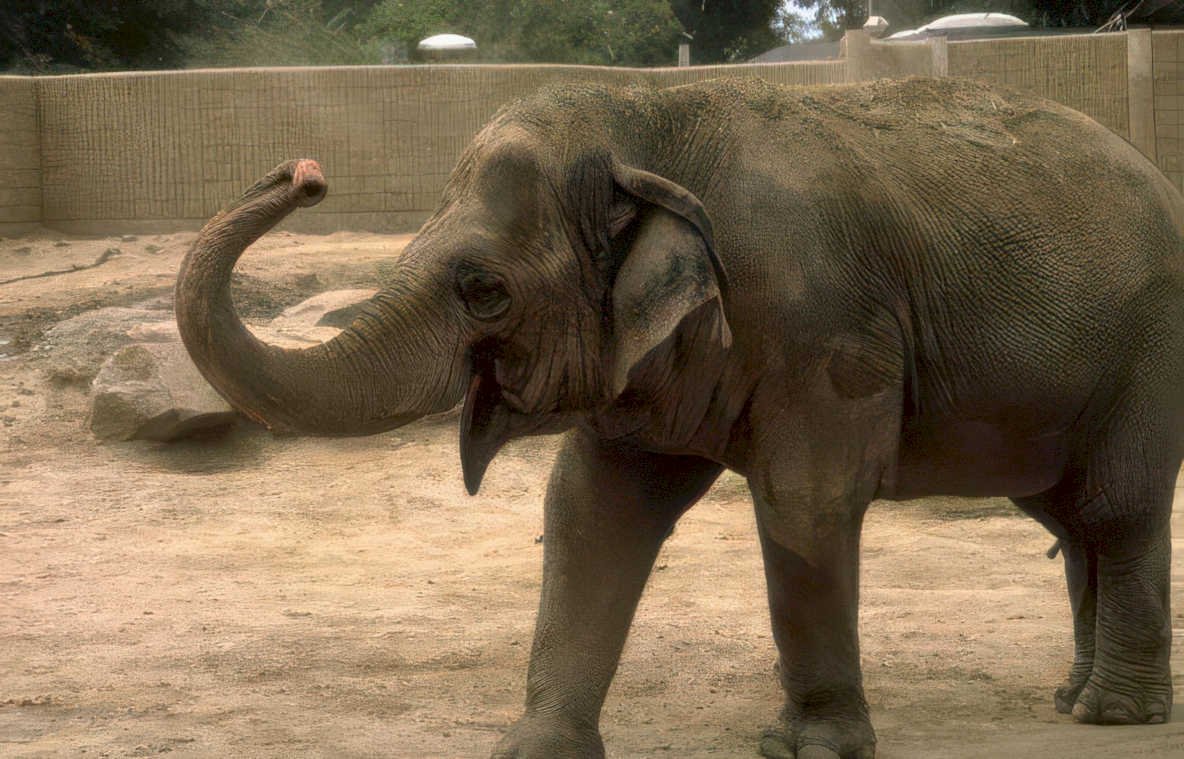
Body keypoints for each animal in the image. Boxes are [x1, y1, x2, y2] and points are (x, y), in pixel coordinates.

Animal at [175, 76, 1184, 758]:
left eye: (483, 289)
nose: (303, 172)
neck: (647, 122)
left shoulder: (821, 323)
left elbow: (806, 503)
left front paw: (810, 748)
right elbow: (590, 509)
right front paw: (532, 748)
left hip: (1150, 349)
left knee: (1117, 511)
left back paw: (1113, 713)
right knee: (1068, 516)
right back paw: (1069, 697)